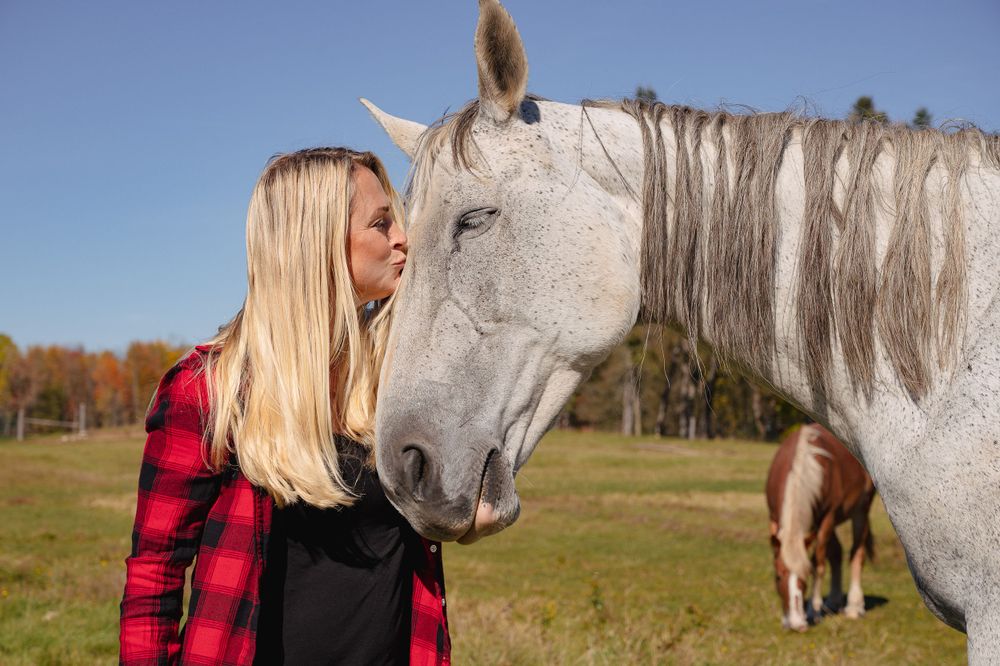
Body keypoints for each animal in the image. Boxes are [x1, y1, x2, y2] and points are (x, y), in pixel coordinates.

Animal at [766, 424, 876, 631]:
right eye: (777, 577)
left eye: (805, 577)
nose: (796, 624)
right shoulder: (775, 518)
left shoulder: (827, 518)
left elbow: (818, 564)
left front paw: (813, 611)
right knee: (836, 552)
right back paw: (833, 601)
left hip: (861, 510)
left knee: (856, 554)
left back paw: (854, 606)